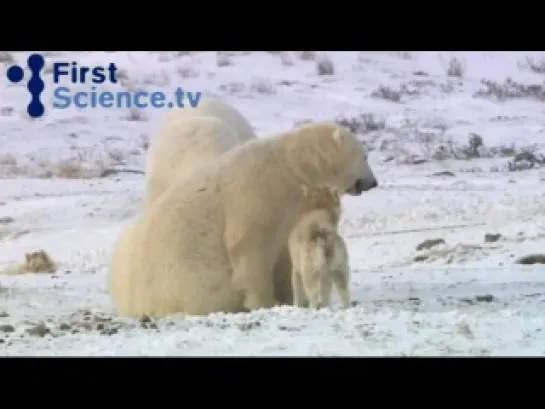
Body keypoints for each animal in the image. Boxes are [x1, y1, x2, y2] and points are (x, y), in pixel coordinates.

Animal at [108, 119, 376, 318]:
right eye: (364, 156)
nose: (373, 182)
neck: (291, 166)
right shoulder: (256, 195)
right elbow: (250, 248)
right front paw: (268, 301)